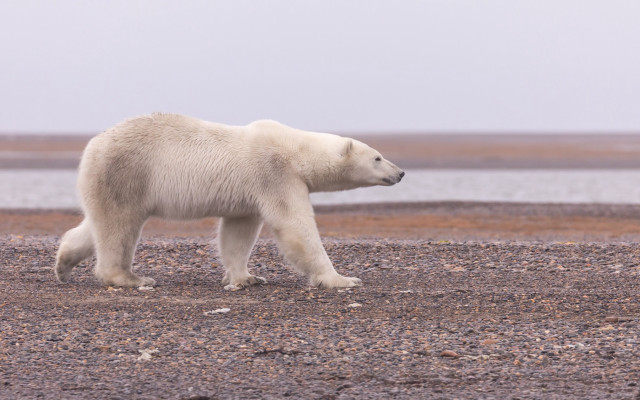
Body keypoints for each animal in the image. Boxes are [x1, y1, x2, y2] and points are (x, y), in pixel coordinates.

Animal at [55, 113, 404, 289]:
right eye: (377, 157)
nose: (400, 172)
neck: (295, 149)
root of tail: (93, 144)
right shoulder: (275, 173)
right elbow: (295, 226)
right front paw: (342, 279)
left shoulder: (249, 193)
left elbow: (237, 234)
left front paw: (247, 278)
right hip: (127, 173)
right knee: (119, 226)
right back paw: (130, 277)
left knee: (98, 223)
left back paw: (64, 263)